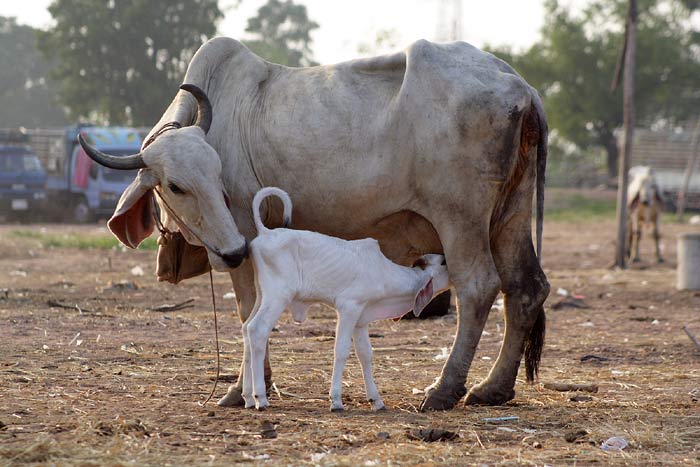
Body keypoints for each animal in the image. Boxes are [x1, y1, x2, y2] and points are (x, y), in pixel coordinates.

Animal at [241, 187, 448, 414]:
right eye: (443, 263)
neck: (383, 272)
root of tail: (267, 233)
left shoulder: (361, 319)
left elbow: (365, 354)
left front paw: (376, 400)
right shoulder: (348, 308)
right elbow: (341, 351)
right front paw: (336, 400)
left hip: (262, 295)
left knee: (246, 329)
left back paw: (248, 397)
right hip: (278, 296)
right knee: (257, 330)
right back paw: (260, 398)